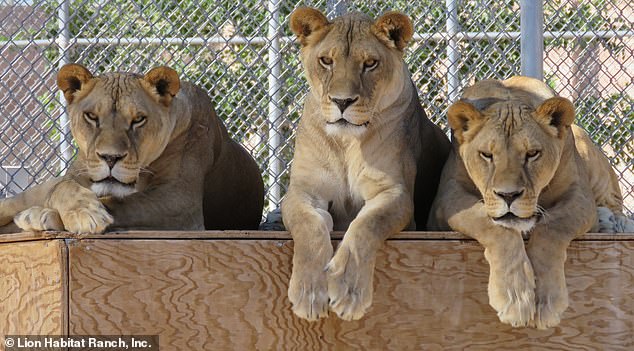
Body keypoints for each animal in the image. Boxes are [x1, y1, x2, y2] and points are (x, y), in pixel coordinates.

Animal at [0, 64, 262, 234]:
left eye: (138, 120)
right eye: (92, 116)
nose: (110, 158)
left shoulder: (181, 202)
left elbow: (119, 204)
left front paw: (50, 215)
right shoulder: (77, 175)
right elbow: (62, 187)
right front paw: (81, 211)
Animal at [280, 7, 450, 322]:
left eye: (370, 63)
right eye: (326, 61)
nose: (342, 101)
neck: (347, 143)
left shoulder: (395, 194)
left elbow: (366, 225)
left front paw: (349, 293)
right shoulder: (302, 192)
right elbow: (309, 227)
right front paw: (309, 292)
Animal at [428, 76, 628, 330]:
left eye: (532, 154)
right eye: (486, 155)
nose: (509, 195)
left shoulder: (580, 197)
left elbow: (553, 227)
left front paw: (546, 301)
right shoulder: (446, 198)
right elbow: (490, 224)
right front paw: (515, 297)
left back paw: (609, 222)